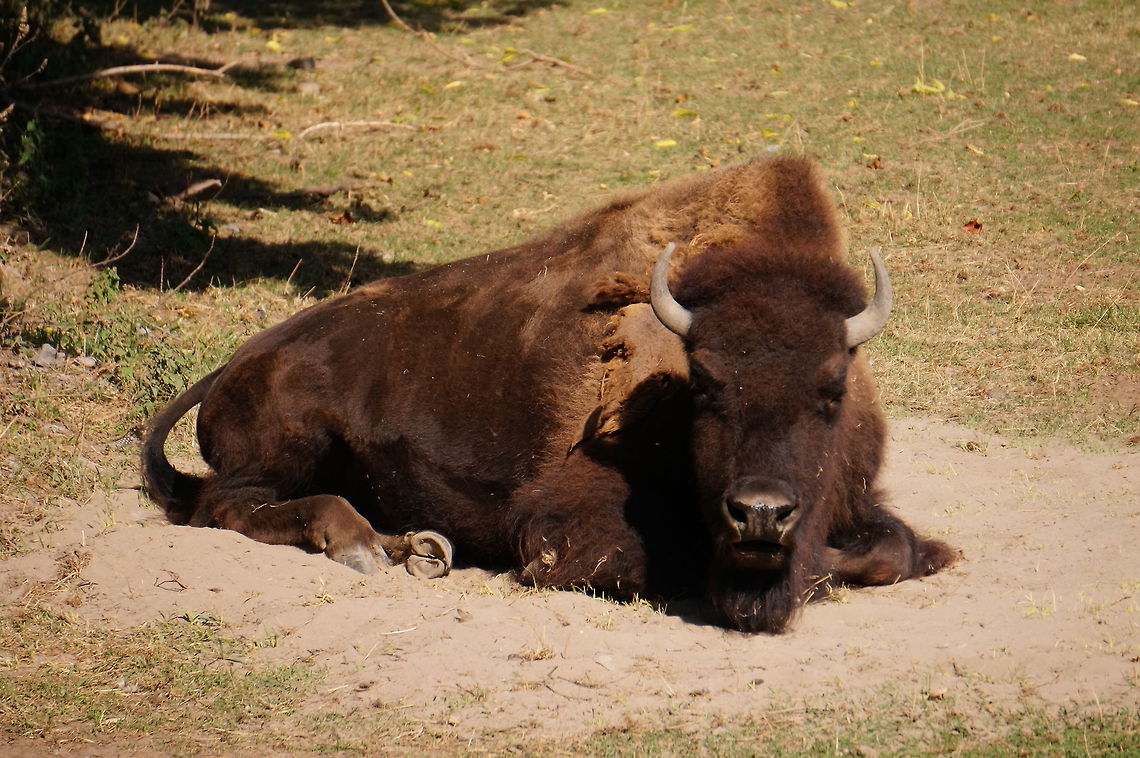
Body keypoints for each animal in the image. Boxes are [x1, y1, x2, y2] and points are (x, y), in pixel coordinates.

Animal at [142, 157, 955, 633]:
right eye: (704, 385)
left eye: (832, 389)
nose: (760, 514)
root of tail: (236, 361)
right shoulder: (561, 527)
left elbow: (893, 548)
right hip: (291, 443)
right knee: (226, 505)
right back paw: (359, 544)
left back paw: (415, 547)